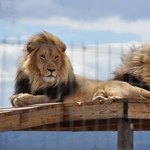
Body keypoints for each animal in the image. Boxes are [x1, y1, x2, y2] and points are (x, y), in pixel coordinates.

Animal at [10, 31, 150, 106]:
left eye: (56, 57)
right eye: (43, 56)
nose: (52, 70)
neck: (37, 81)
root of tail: (134, 86)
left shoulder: (55, 98)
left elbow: (36, 98)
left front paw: (22, 98)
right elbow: (12, 98)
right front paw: (19, 97)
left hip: (113, 88)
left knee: (123, 98)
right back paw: (99, 98)